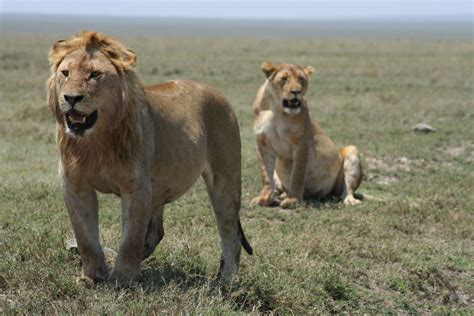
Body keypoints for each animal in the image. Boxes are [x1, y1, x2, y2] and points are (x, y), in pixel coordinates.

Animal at [47, 32, 252, 286]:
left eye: (95, 74)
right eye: (65, 73)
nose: (71, 98)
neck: (96, 141)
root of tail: (216, 91)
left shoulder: (137, 186)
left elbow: (130, 238)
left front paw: (123, 279)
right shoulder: (75, 185)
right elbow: (85, 236)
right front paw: (92, 277)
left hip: (225, 177)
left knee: (230, 232)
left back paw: (225, 280)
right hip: (159, 188)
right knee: (156, 231)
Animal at [254, 62, 364, 209]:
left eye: (301, 79)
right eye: (284, 79)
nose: (296, 92)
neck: (277, 109)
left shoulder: (301, 144)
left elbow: (297, 175)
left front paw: (293, 200)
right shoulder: (262, 144)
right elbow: (265, 174)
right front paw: (264, 199)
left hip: (352, 151)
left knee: (346, 190)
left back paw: (350, 200)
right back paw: (283, 195)